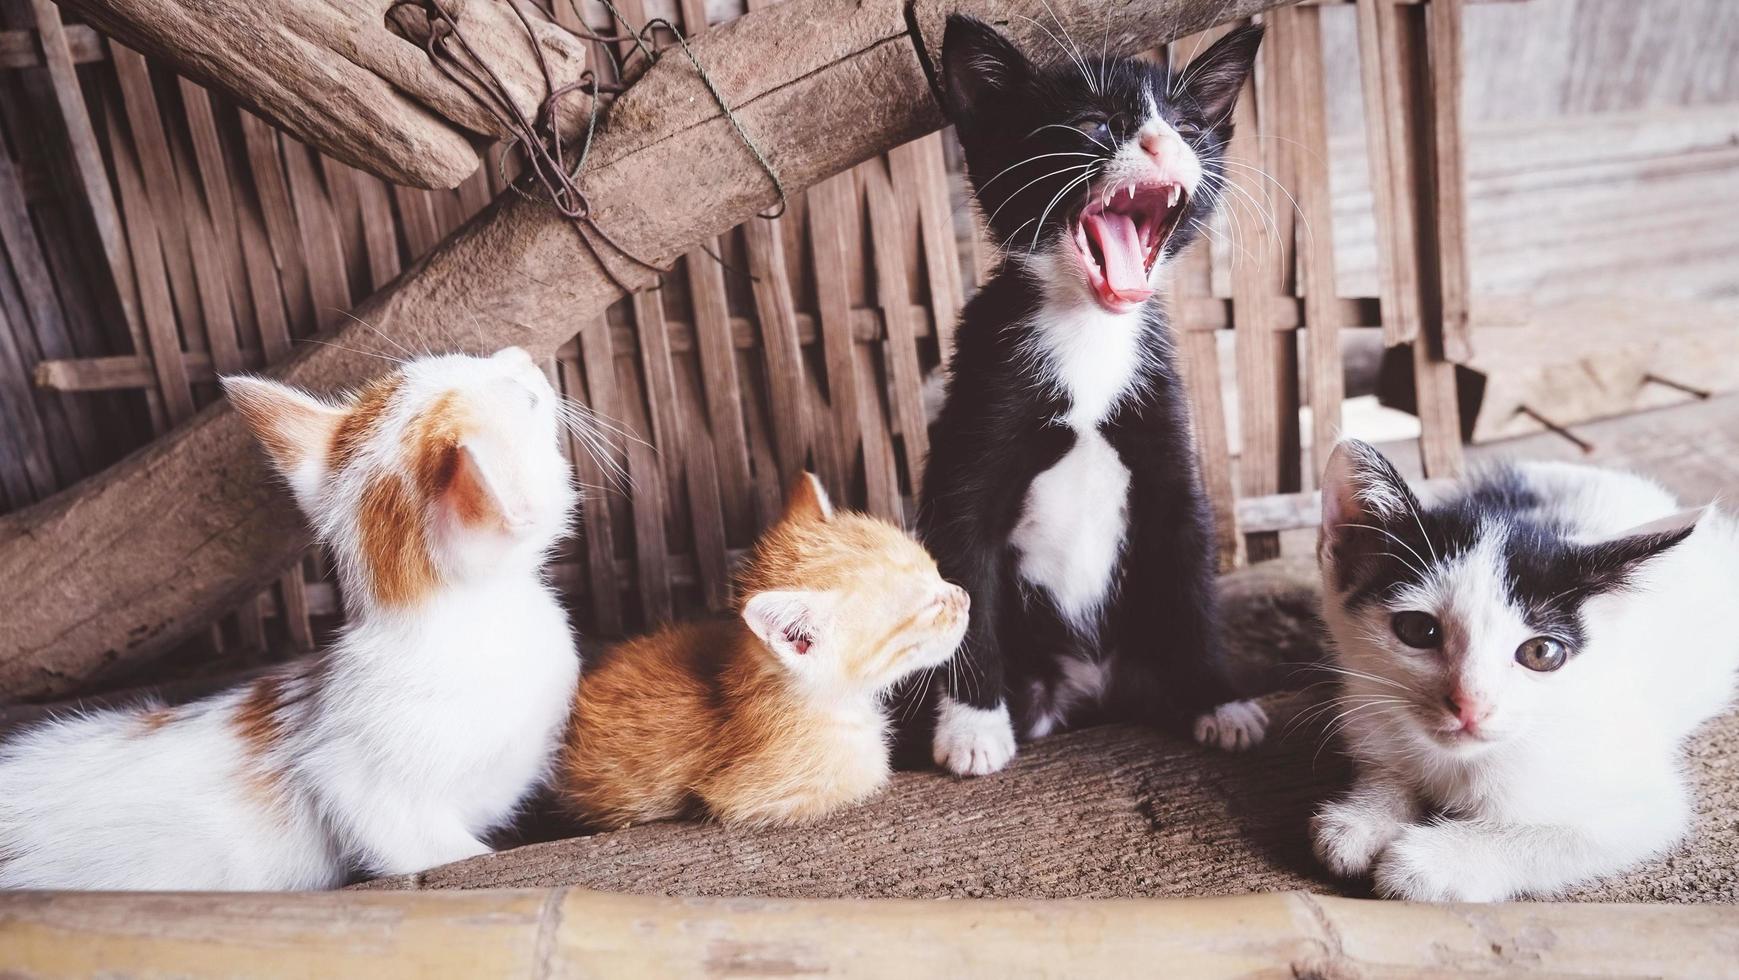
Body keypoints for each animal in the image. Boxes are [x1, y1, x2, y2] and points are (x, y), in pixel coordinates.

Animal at [918, 15, 1272, 778]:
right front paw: (972, 727)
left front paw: (1219, 699)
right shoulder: (970, 447)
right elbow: (962, 575)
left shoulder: (1169, 459)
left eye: (1186, 127)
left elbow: (1190, 574)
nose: (1160, 142)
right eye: (1092, 125)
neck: (1087, 332)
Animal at [1307, 439, 1732, 896]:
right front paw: (1364, 817)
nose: (1470, 705)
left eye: (1542, 653)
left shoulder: (1643, 804)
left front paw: (1428, 864)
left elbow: (1551, 837)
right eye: (1418, 629)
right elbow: (1386, 768)